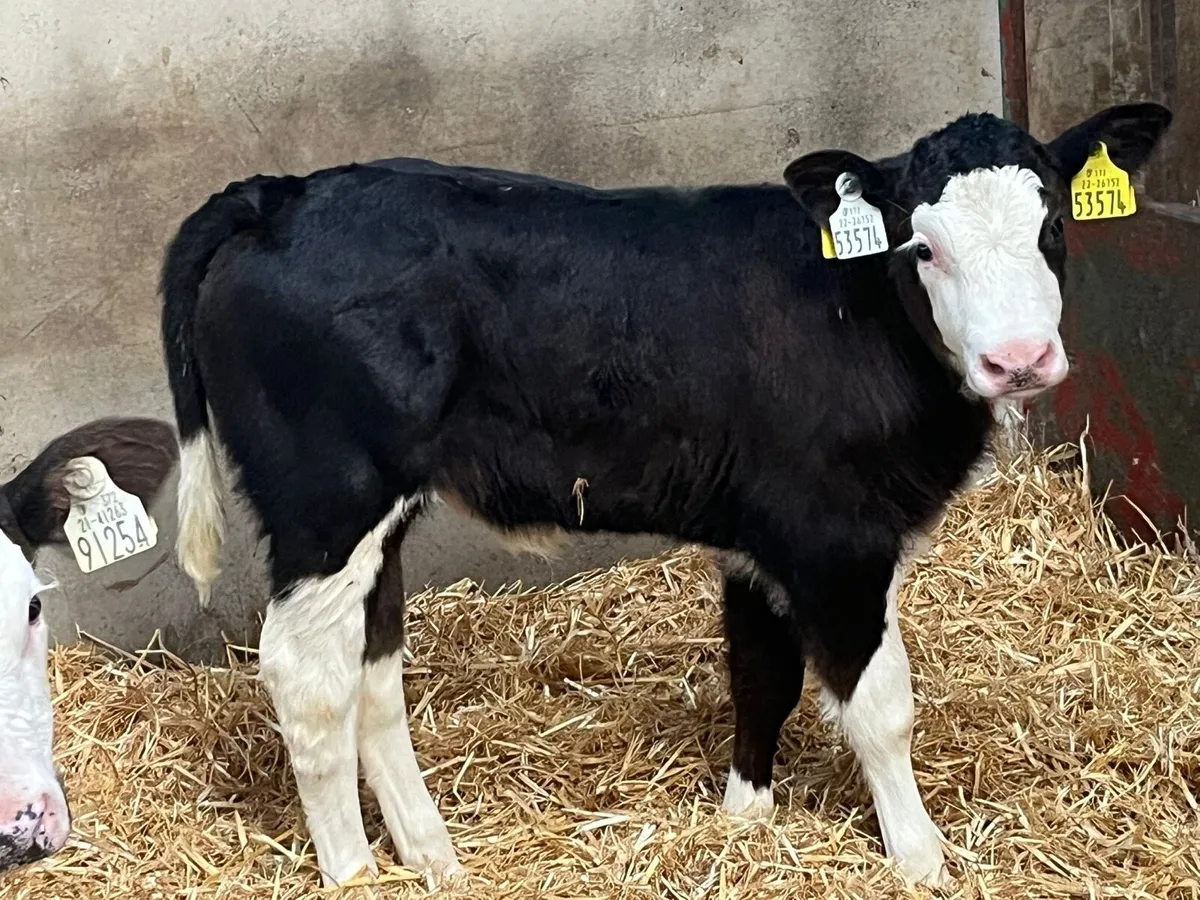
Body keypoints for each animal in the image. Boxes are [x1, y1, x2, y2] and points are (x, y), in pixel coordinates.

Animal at [160, 102, 1171, 888]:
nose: (1019, 360)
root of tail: (280, 194)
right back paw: (353, 871)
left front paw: (745, 821)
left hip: (380, 516)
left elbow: (761, 676)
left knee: (372, 670)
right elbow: (879, 703)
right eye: (924, 245)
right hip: (325, 500)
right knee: (307, 675)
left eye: (1053, 226)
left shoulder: (762, 535)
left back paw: (433, 857)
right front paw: (920, 858)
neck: (860, 311)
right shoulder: (836, 539)